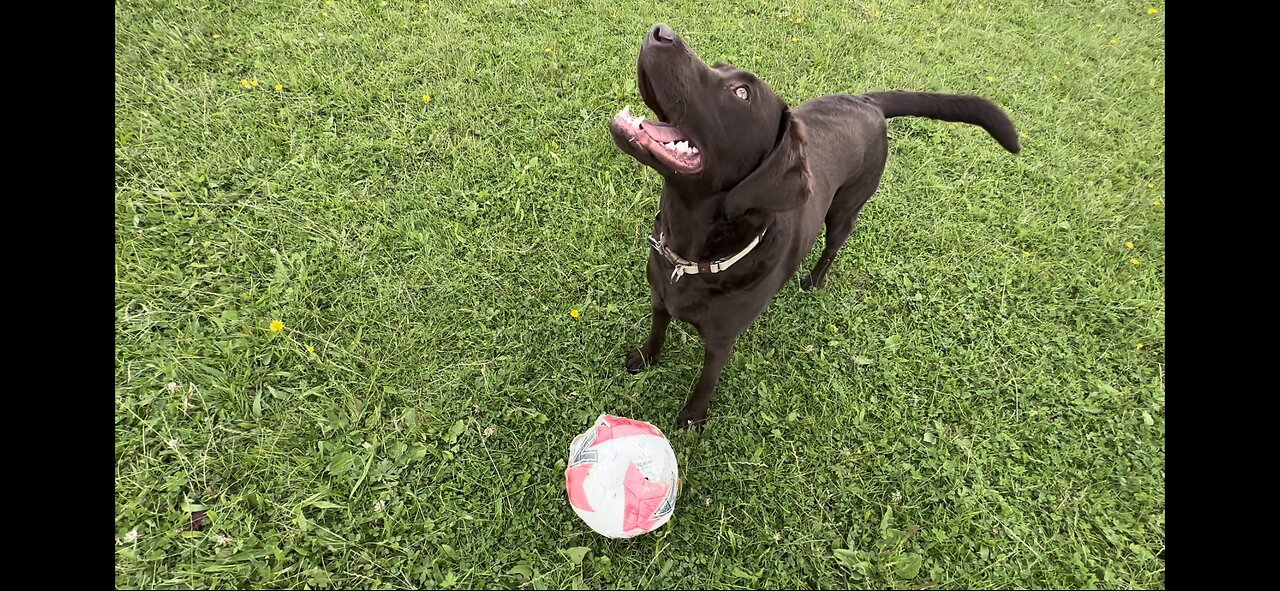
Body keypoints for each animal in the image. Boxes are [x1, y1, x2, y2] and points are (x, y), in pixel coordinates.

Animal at [609, 24, 1018, 429]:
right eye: (719, 66)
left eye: (741, 93)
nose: (661, 31)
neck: (690, 251)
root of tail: (868, 102)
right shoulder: (660, 296)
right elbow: (657, 330)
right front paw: (645, 358)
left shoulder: (722, 339)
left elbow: (707, 380)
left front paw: (693, 417)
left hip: (846, 208)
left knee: (834, 245)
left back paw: (815, 280)